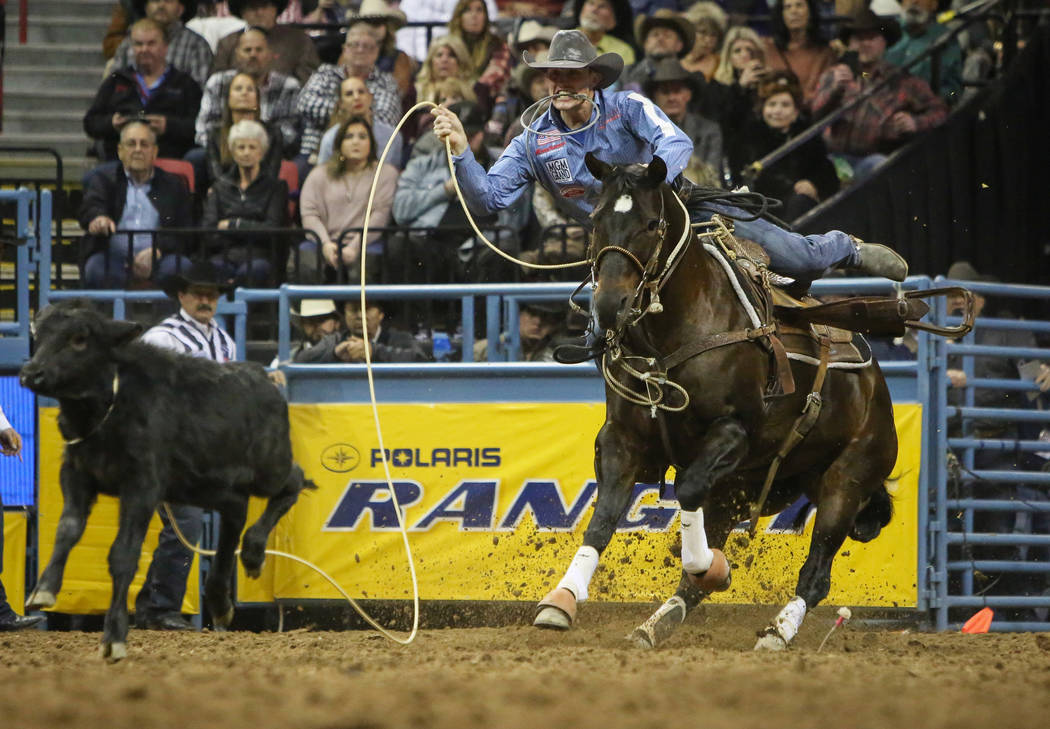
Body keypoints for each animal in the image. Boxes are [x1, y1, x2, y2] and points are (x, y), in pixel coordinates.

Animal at [537, 154, 898, 651]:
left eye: (652, 223)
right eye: (595, 220)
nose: (609, 306)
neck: (676, 332)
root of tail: (877, 389)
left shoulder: (734, 432)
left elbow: (688, 489)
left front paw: (708, 566)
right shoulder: (621, 438)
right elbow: (604, 517)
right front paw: (562, 599)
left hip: (848, 477)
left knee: (817, 571)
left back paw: (777, 631)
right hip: (748, 485)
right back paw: (655, 625)